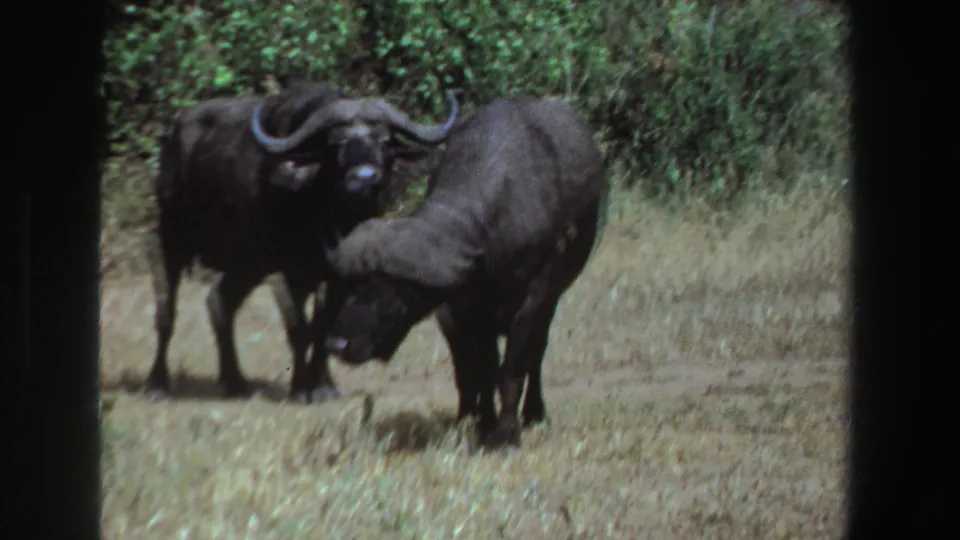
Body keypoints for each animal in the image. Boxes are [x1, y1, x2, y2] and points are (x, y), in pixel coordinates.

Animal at [146, 81, 459, 402]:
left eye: (384, 141)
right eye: (336, 143)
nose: (365, 177)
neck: (328, 216)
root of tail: (175, 133)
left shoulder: (337, 276)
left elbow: (324, 328)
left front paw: (323, 386)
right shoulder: (287, 274)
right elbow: (299, 329)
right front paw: (300, 387)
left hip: (248, 263)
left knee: (219, 301)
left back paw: (235, 381)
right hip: (172, 238)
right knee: (166, 310)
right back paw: (158, 381)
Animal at [320, 96, 607, 448]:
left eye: (381, 289)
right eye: (346, 286)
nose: (336, 344)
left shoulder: (533, 300)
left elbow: (513, 368)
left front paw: (506, 433)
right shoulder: (469, 308)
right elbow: (483, 370)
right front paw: (484, 425)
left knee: (536, 353)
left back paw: (534, 414)